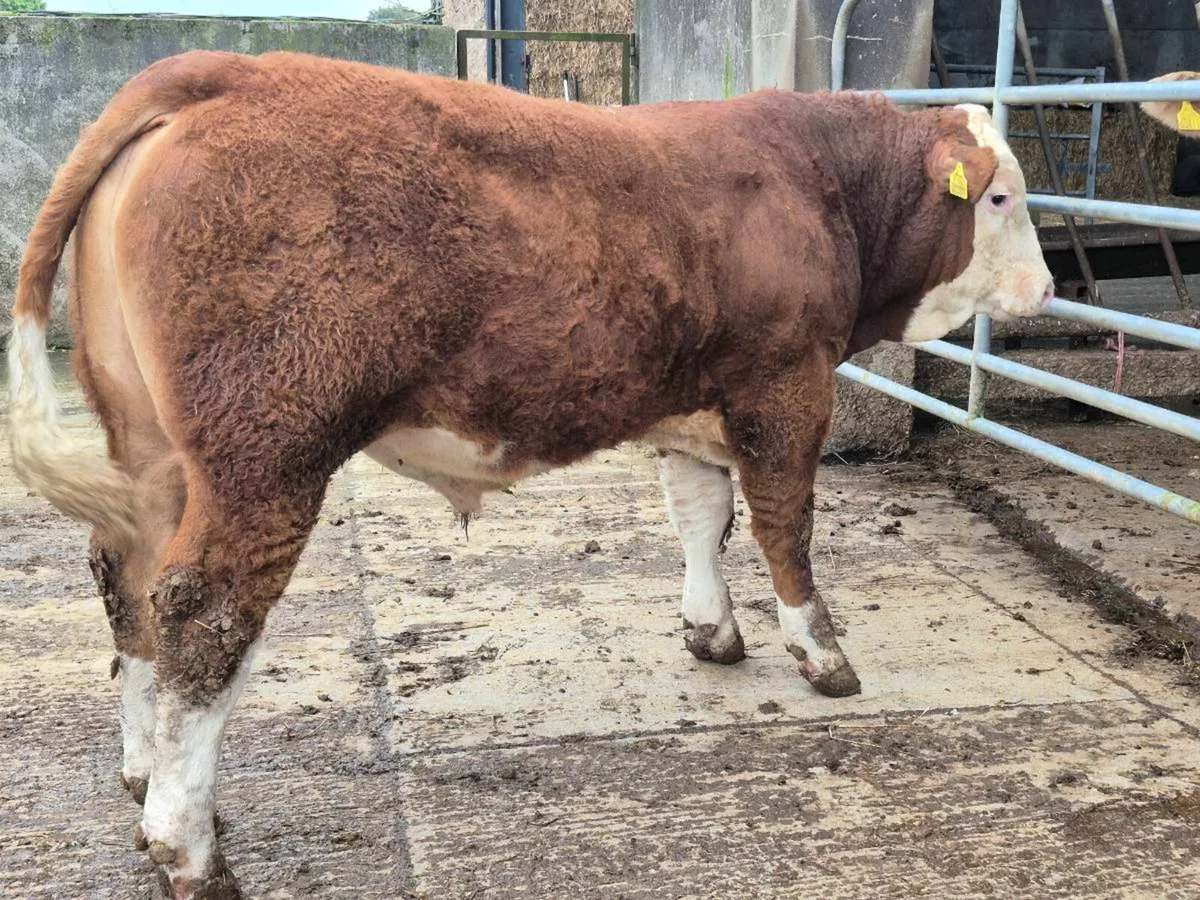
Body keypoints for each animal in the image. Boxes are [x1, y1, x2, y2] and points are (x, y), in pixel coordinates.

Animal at [7, 51, 1053, 898]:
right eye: (1001, 197)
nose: (1046, 289)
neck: (819, 181)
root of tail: (221, 71)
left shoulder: (694, 400)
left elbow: (698, 514)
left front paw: (712, 632)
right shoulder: (788, 384)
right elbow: (783, 523)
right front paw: (822, 654)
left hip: (149, 448)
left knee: (126, 582)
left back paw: (143, 778)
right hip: (267, 449)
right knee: (202, 612)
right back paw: (190, 851)